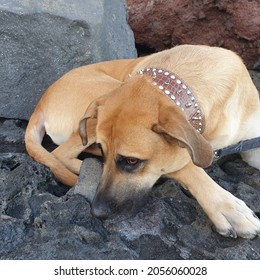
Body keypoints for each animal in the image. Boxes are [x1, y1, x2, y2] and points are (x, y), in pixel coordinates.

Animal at [25, 45, 260, 238]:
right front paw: (227, 208)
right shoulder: (179, 154)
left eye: (131, 161)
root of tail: (41, 104)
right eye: (104, 150)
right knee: (59, 154)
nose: (96, 212)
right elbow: (190, 167)